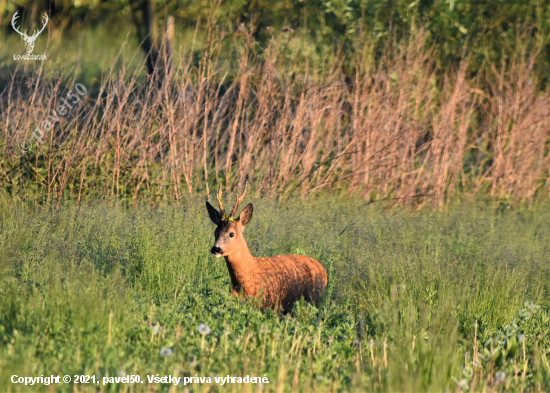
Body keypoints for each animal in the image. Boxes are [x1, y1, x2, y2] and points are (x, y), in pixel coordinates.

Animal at [207, 181, 328, 312]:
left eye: (231, 233)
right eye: (215, 232)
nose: (215, 249)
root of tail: (323, 270)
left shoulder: (271, 304)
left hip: (313, 298)